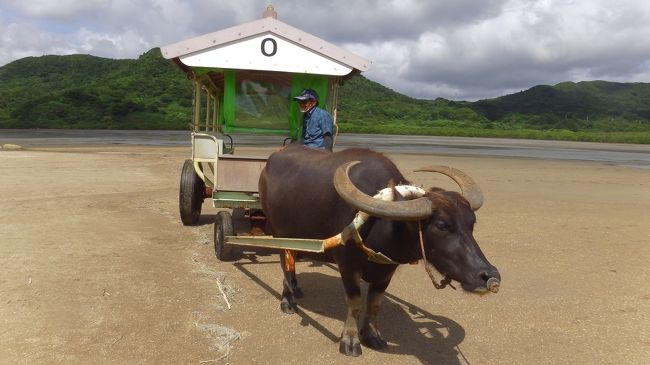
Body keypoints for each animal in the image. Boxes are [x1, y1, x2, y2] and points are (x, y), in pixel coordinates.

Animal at [256, 143, 498, 356]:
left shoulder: (387, 270)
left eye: (471, 222)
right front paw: (350, 340)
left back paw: (296, 289)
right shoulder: (347, 266)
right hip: (278, 233)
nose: (489, 276)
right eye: (442, 225)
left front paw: (372, 335)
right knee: (286, 263)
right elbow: (355, 303)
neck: (383, 223)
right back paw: (288, 300)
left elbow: (374, 304)